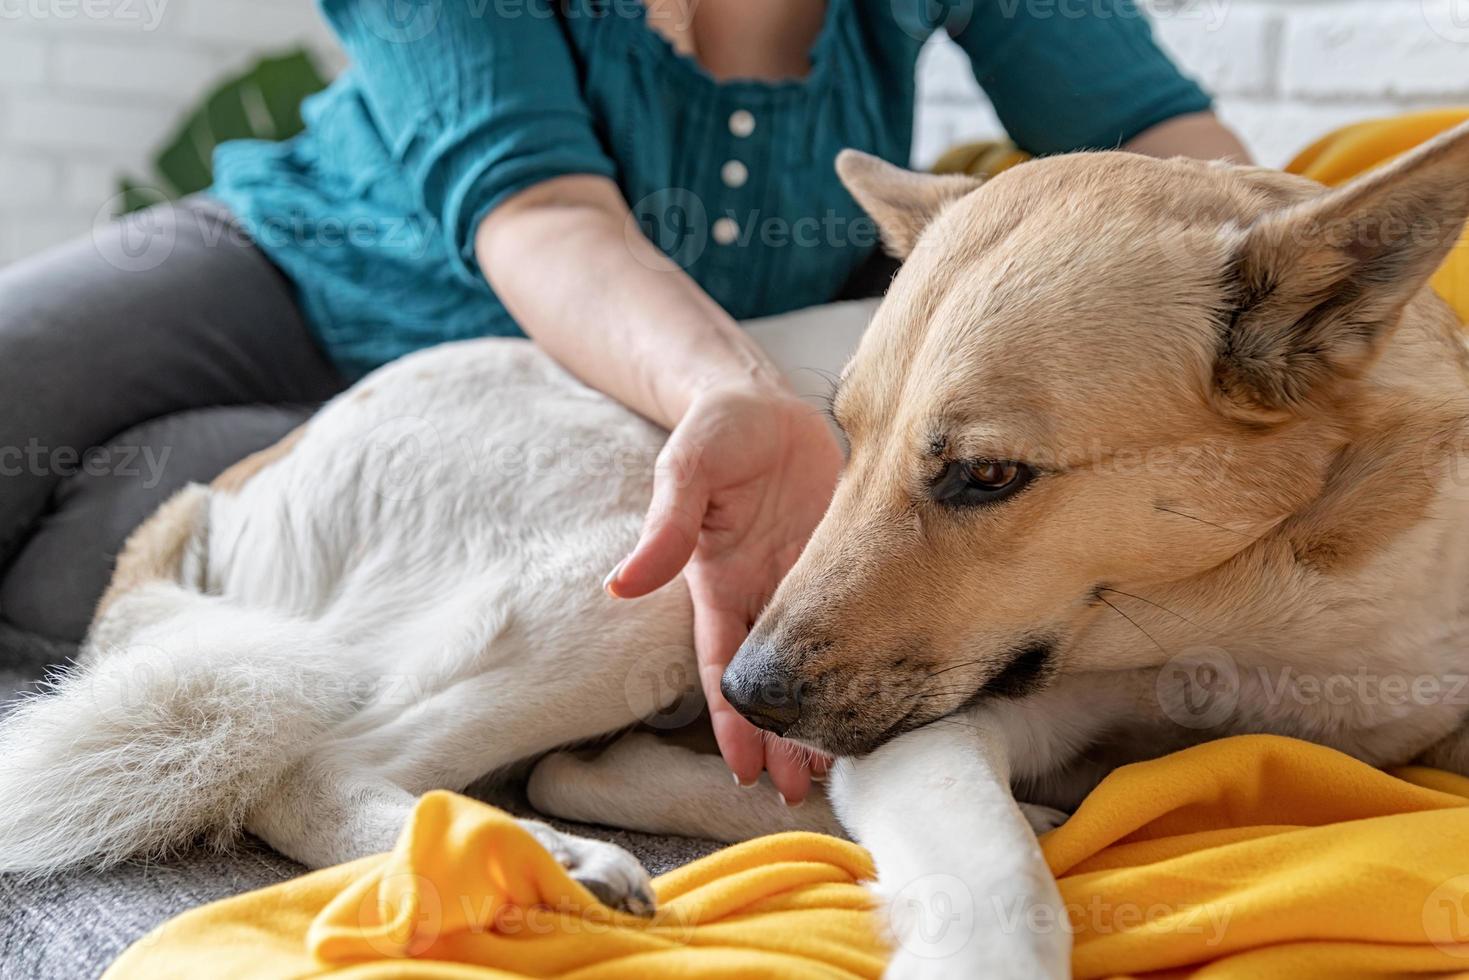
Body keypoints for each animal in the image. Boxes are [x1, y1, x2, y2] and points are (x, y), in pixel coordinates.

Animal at [2, 122, 1469, 980]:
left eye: (985, 475)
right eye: (847, 434)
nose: (751, 695)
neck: (1246, 606)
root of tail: (239, 479)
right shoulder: (939, 722)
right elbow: (999, 892)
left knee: (574, 762)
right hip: (645, 556)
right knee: (322, 771)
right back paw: (556, 861)